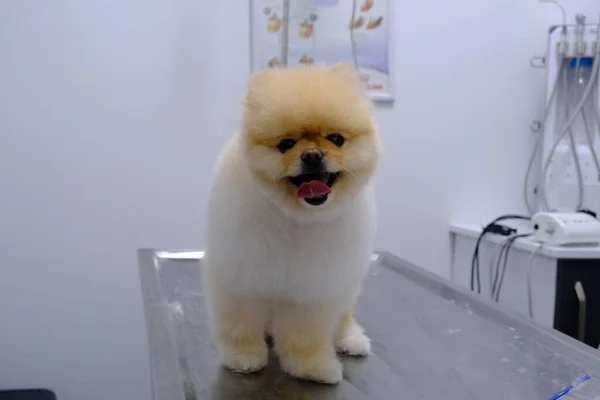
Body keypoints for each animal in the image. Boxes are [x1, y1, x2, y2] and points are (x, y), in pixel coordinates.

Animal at [203, 63, 380, 384]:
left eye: (336, 138)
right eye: (285, 144)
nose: (312, 155)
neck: (298, 220)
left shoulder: (312, 291)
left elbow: (303, 336)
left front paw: (311, 367)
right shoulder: (241, 278)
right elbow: (240, 324)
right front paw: (243, 356)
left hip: (346, 285)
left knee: (345, 315)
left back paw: (351, 339)